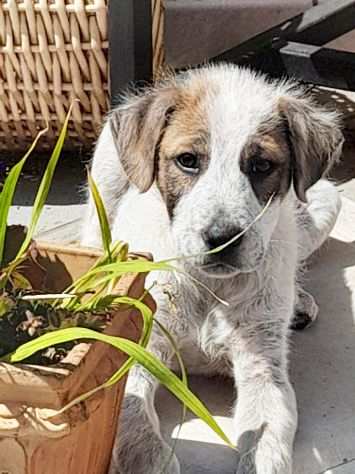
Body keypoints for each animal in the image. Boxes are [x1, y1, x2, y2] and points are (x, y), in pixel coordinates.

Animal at [82, 64, 344, 474]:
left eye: (261, 166)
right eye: (188, 160)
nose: (222, 238)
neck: (209, 286)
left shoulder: (263, 368)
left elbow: (266, 445)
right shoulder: (136, 351)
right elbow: (135, 427)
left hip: (324, 203)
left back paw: (299, 301)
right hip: (105, 178)